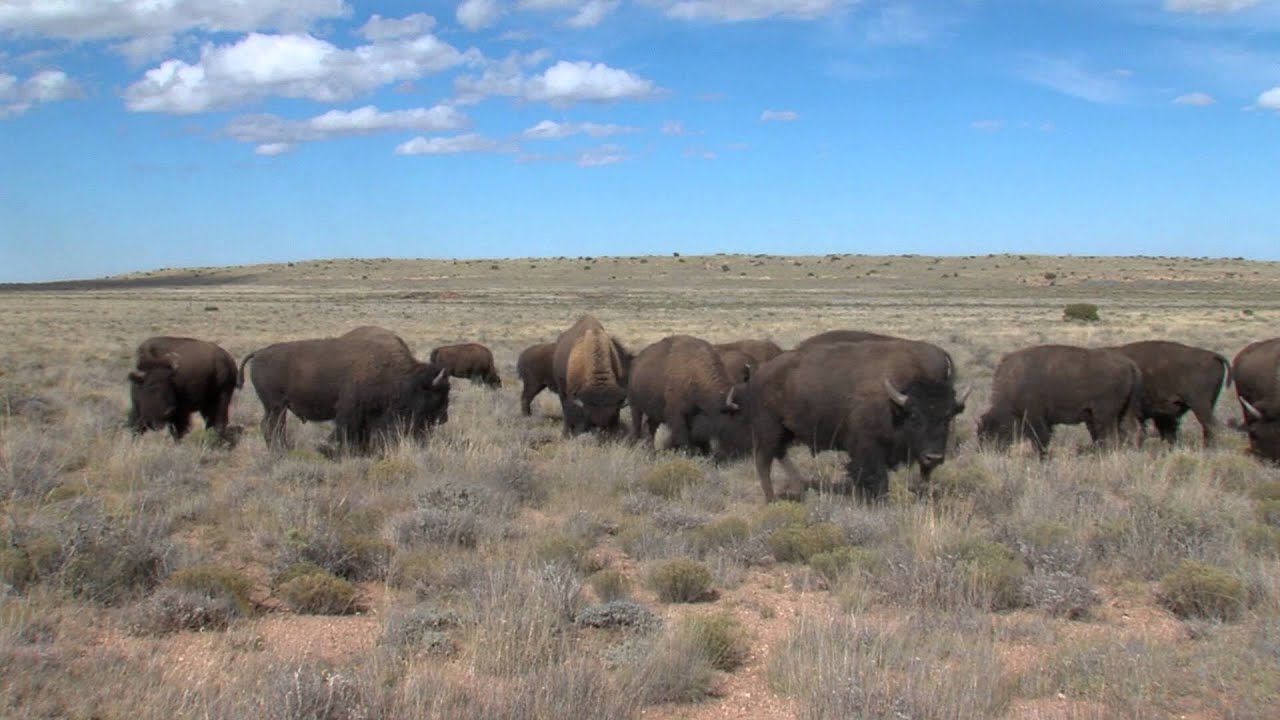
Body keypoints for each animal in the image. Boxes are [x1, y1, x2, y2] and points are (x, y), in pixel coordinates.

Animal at [240, 326, 450, 453]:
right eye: (438, 395)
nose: (443, 418)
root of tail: (258, 353)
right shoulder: (350, 409)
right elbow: (345, 430)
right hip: (275, 406)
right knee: (272, 427)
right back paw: (281, 451)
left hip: (278, 407)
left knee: (274, 427)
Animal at [741, 339, 966, 503]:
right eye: (914, 415)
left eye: (947, 417)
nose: (934, 457)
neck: (895, 403)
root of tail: (760, 372)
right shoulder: (868, 449)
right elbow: (876, 477)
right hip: (769, 429)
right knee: (764, 461)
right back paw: (772, 499)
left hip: (785, 431)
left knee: (779, 454)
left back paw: (799, 486)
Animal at [978, 345, 1143, 457]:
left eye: (991, 432)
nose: (986, 452)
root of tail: (1129, 364)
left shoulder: (1036, 418)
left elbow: (1040, 441)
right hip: (1122, 412)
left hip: (1105, 415)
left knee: (1111, 437)